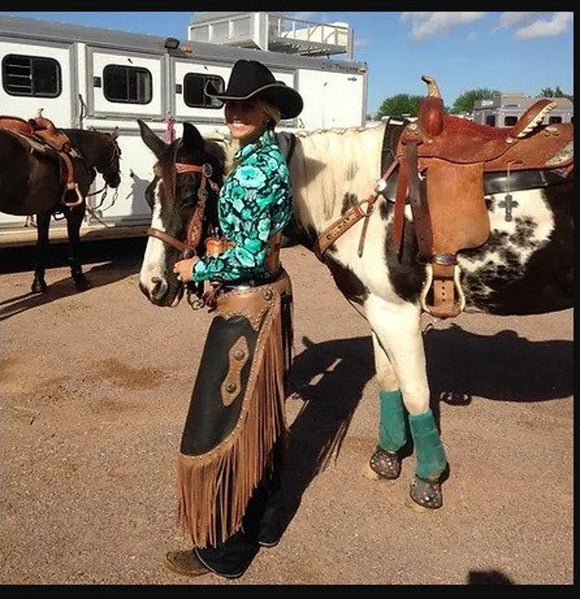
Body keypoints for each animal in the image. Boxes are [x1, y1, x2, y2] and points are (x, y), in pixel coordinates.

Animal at [0, 112, 120, 292]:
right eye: (119, 154)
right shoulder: (76, 208)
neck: (79, 150)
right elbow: (74, 241)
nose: (116, 180)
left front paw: (39, 283)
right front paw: (80, 279)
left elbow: (42, 243)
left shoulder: (43, 210)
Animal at [138, 76, 572, 510]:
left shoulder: (399, 314)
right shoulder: (379, 309)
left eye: (190, 195)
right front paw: (387, 457)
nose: (152, 283)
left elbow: (416, 393)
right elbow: (389, 382)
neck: (364, 194)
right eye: (148, 194)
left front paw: (427, 480)